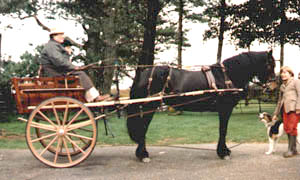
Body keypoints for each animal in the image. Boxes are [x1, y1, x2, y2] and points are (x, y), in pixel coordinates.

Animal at [125, 50, 276, 162]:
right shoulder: (225, 108)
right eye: (270, 65)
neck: (227, 75)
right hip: (149, 106)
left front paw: (224, 150)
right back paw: (143, 155)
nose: (272, 86)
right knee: (143, 128)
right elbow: (223, 130)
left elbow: (223, 130)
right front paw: (223, 153)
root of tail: (144, 73)